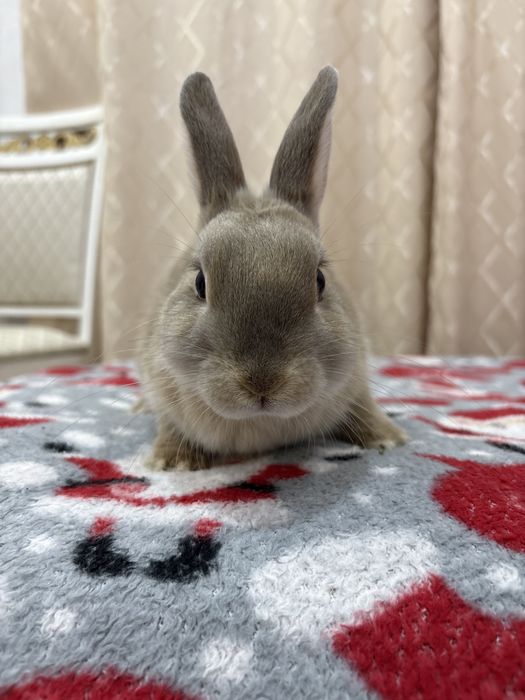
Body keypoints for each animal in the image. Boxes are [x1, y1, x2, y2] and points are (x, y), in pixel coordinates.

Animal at [138, 66, 407, 471]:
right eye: (200, 283)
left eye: (320, 280)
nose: (262, 383)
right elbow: (170, 423)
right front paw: (173, 462)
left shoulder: (356, 376)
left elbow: (362, 407)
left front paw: (387, 438)